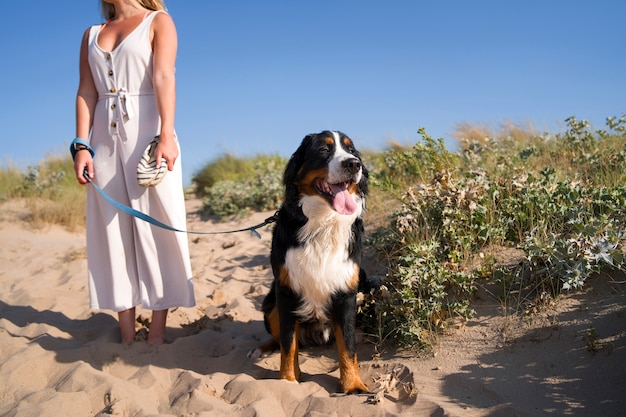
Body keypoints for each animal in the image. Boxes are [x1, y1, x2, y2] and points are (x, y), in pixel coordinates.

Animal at [245, 130, 370, 394]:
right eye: (323, 150)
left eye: (351, 150)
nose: (354, 164)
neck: (323, 222)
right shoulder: (287, 291)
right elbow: (288, 344)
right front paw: (288, 381)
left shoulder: (346, 292)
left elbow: (347, 347)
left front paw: (353, 385)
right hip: (271, 303)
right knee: (279, 338)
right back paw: (260, 350)